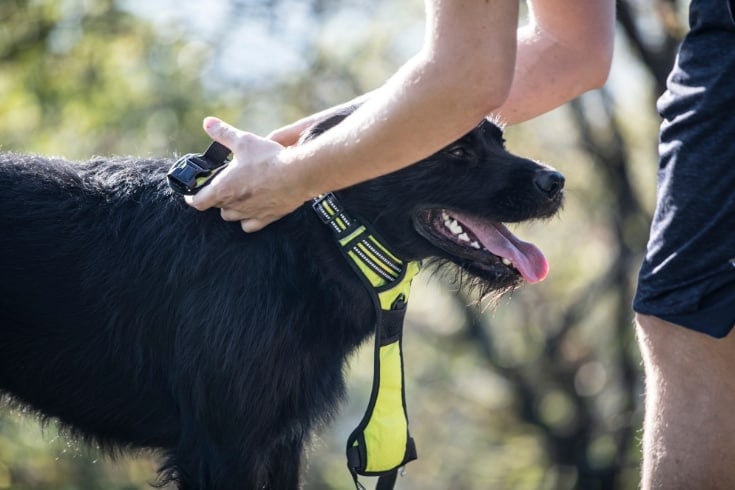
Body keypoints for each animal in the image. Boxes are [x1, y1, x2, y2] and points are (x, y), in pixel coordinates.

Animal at [0, 109, 564, 488]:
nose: (557, 181)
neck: (310, 238)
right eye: (456, 150)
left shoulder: (281, 440)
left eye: (499, 139)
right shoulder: (223, 446)